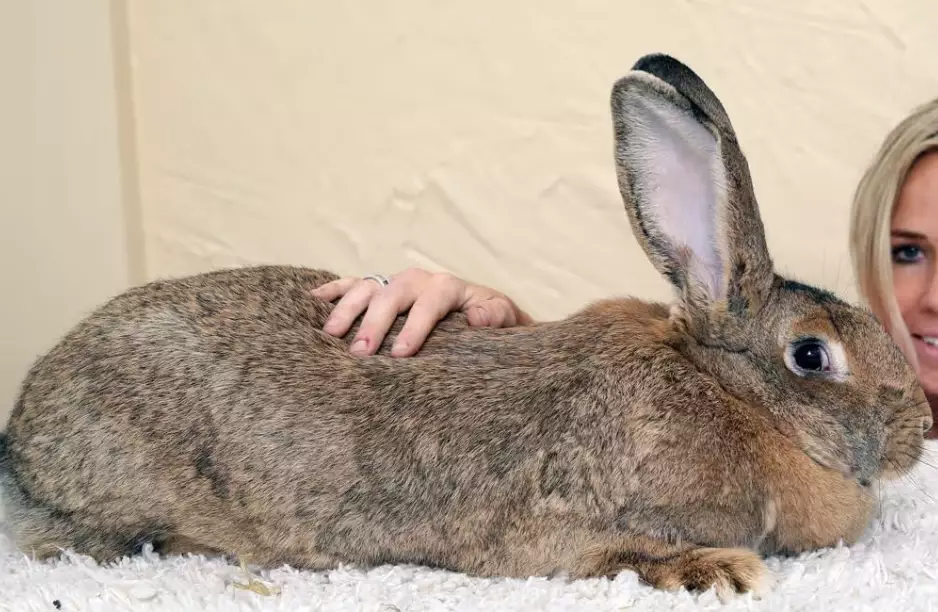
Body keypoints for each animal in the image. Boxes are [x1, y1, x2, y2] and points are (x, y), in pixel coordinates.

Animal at [0, 52, 932, 601]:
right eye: (811, 354)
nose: (916, 428)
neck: (732, 396)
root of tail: (20, 437)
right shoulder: (570, 532)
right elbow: (617, 554)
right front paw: (722, 571)